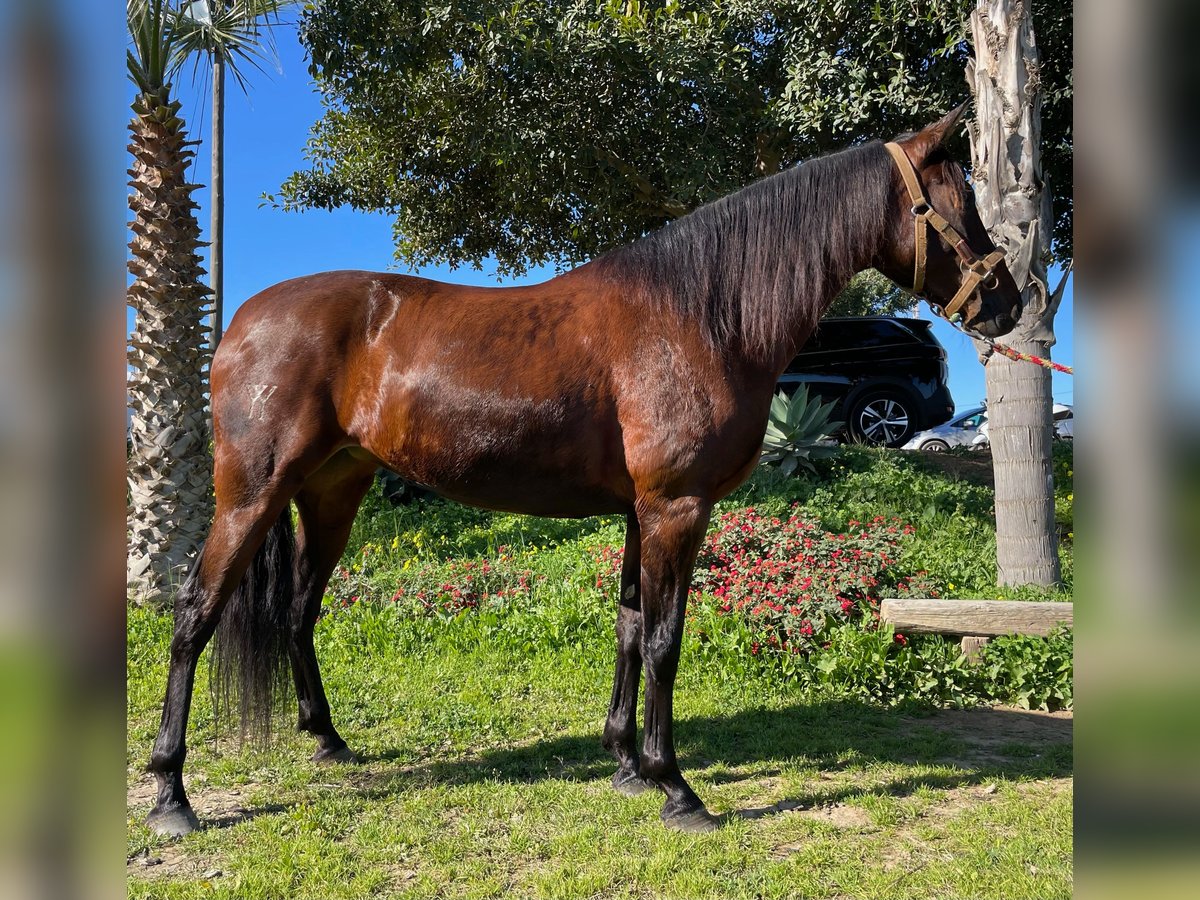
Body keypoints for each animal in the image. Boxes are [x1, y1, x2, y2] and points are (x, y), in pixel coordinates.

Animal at [145, 105, 1017, 840]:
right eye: (958, 201)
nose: (1009, 301)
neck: (699, 315)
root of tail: (242, 321)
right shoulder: (677, 508)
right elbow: (664, 639)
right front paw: (676, 787)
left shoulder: (640, 512)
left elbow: (629, 627)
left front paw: (627, 763)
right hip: (252, 493)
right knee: (195, 613)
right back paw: (171, 794)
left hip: (331, 493)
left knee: (298, 610)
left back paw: (327, 739)